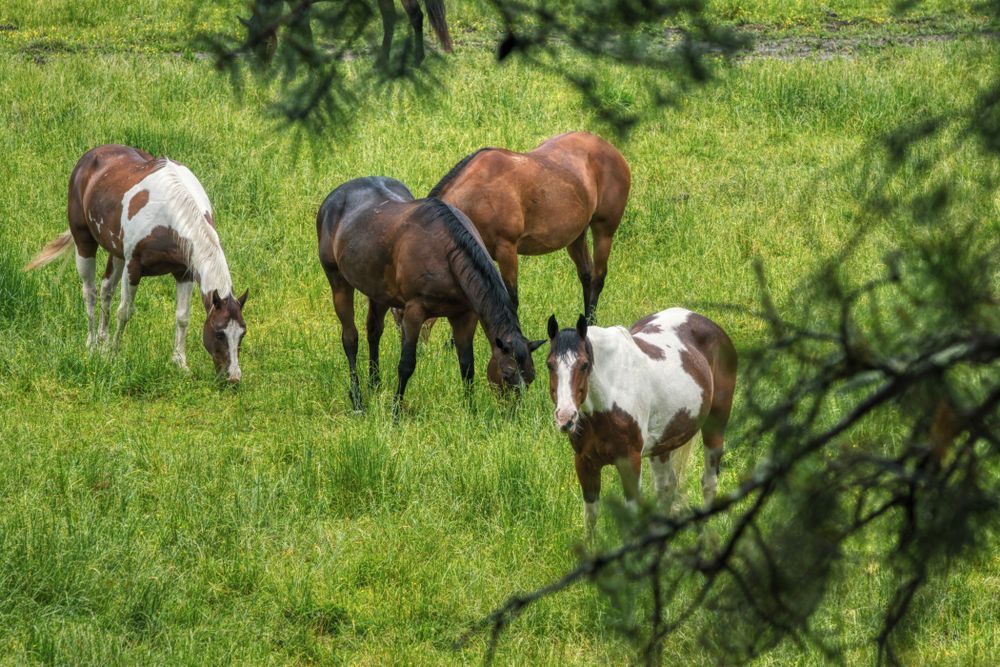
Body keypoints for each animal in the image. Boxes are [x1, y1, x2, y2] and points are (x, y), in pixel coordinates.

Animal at [24, 144, 248, 382]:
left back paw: (102, 342)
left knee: (106, 290)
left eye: (242, 332)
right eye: (219, 332)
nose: (233, 376)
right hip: (84, 242)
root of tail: (91, 155)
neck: (170, 217)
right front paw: (114, 355)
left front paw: (180, 362)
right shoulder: (133, 268)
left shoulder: (184, 272)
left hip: (116, 253)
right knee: (90, 292)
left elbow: (182, 317)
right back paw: (92, 344)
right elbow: (124, 311)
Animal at [316, 176, 543, 411]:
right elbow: (406, 364)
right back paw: (358, 400)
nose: (513, 413)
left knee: (374, 332)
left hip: (378, 291)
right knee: (350, 339)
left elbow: (467, 365)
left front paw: (470, 411)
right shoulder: (414, 312)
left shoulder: (464, 316)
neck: (448, 255)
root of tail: (333, 199)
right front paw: (395, 411)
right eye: (507, 374)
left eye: (531, 377)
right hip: (338, 281)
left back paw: (375, 385)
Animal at [428, 131, 631, 323]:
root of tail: (612, 149)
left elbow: (511, 300)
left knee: (598, 277)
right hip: (576, 236)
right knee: (586, 274)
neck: (478, 196)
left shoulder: (506, 250)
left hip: (604, 231)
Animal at [545, 309, 737, 534]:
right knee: (667, 486)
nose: (565, 418)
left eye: (584, 365)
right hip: (662, 445)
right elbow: (590, 517)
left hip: (714, 428)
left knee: (709, 482)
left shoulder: (630, 462)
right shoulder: (585, 462)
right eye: (549, 364)